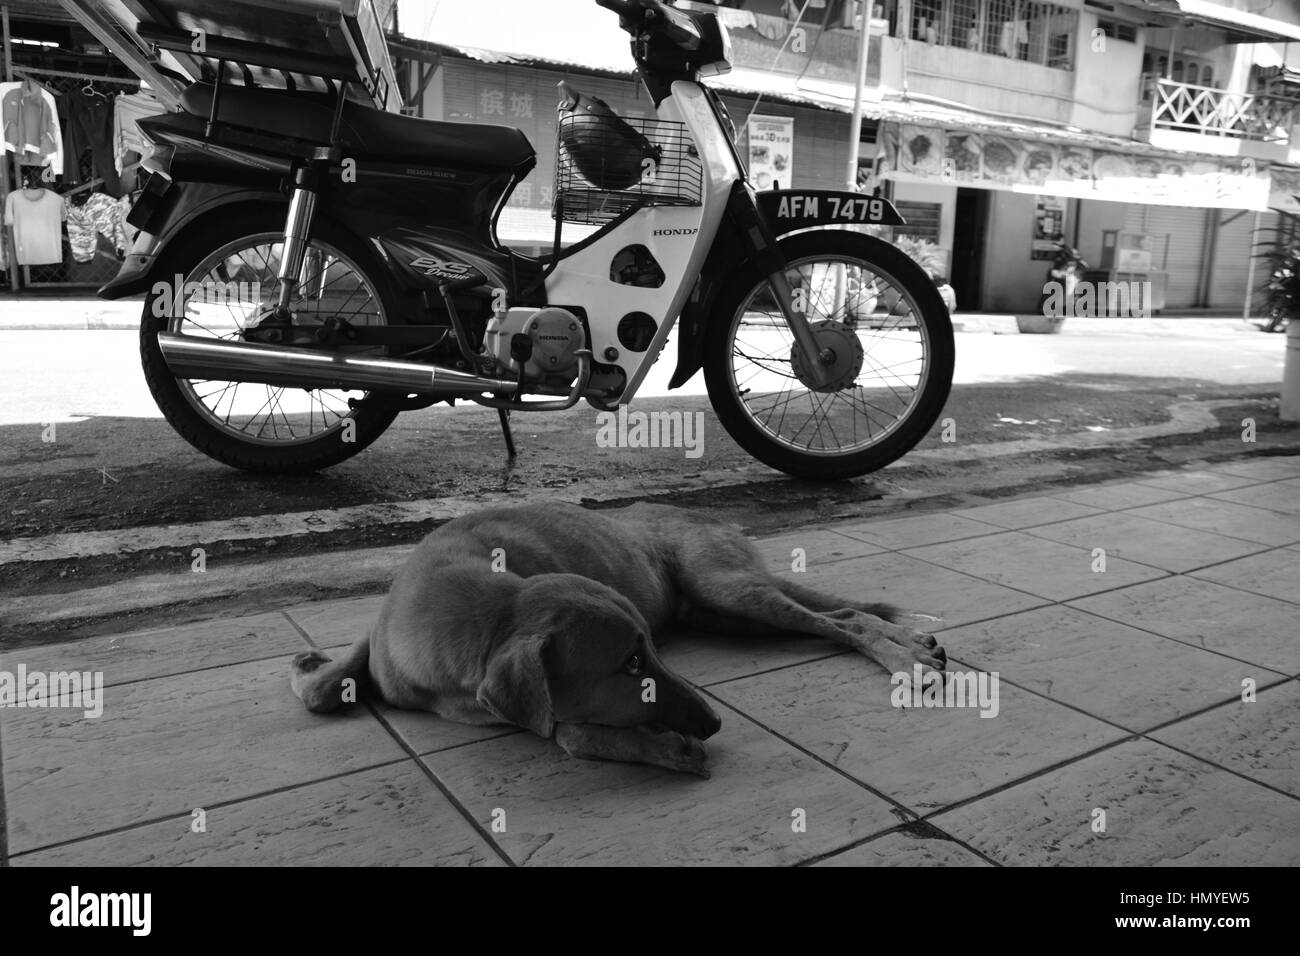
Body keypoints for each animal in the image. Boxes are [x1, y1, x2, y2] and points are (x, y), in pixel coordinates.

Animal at [292, 502, 946, 780]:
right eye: (631, 663)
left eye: (648, 651)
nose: (713, 724)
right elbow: (323, 690)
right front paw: (311, 667)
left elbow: (566, 732)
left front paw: (657, 746)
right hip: (725, 611)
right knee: (841, 613)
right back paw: (908, 641)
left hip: (729, 588)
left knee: (842, 621)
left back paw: (906, 655)